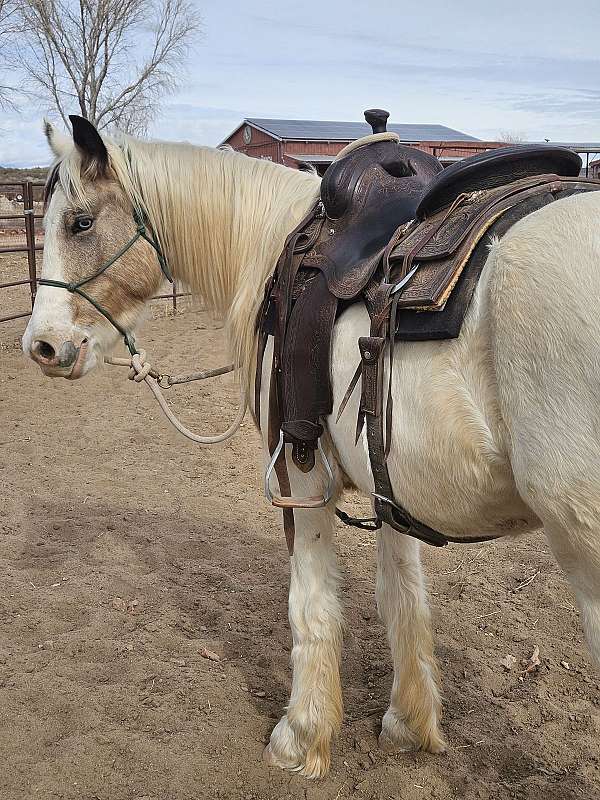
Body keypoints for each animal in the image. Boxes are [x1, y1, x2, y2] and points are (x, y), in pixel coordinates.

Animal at [25, 115, 600, 780]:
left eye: (79, 222)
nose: (41, 346)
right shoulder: (387, 484)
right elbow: (401, 593)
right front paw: (409, 721)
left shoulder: (298, 472)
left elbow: (312, 602)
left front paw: (302, 736)